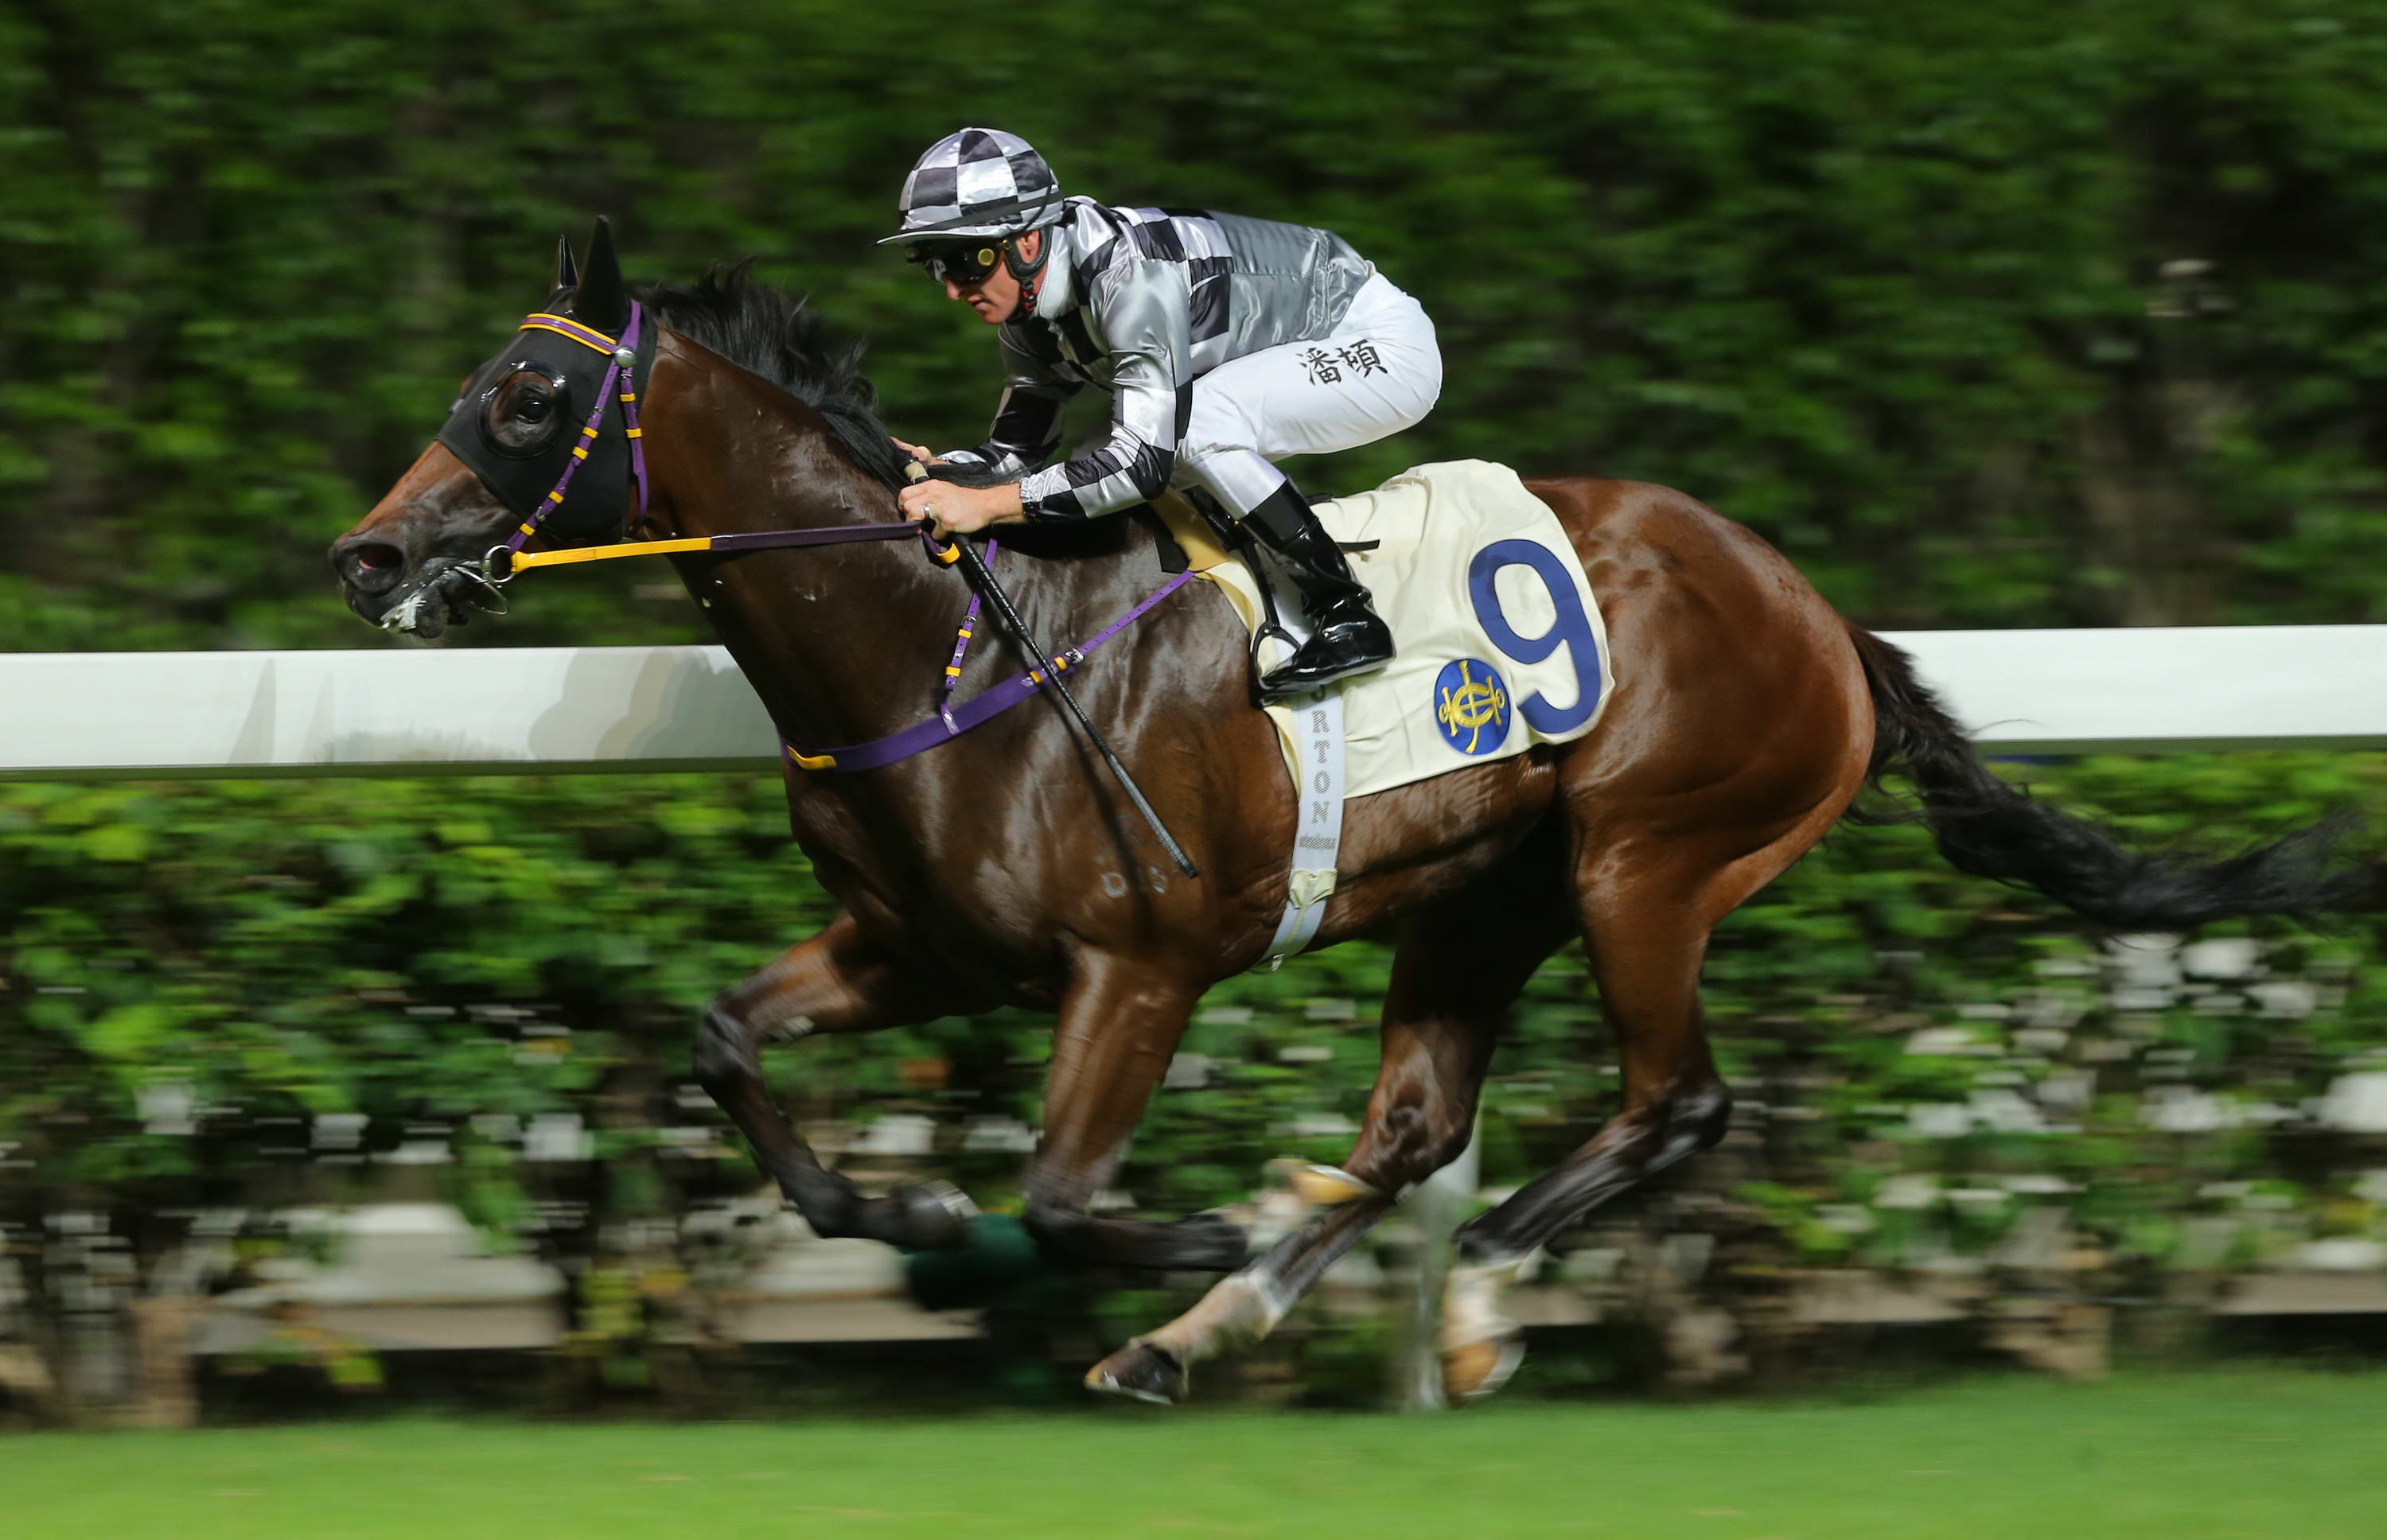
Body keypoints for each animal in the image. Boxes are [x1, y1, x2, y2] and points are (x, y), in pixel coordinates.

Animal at [327, 231, 2358, 1403]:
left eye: (526, 395)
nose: (368, 557)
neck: (936, 635)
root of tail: (1817, 611)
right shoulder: (919, 947)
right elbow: (726, 1043)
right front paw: (904, 1207)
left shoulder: (1136, 961)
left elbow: (1064, 1193)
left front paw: (1173, 1229)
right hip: (1479, 893)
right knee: (1415, 1121)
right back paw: (1202, 1331)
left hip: (1648, 857)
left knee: (1675, 1099)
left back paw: (1457, 1295)